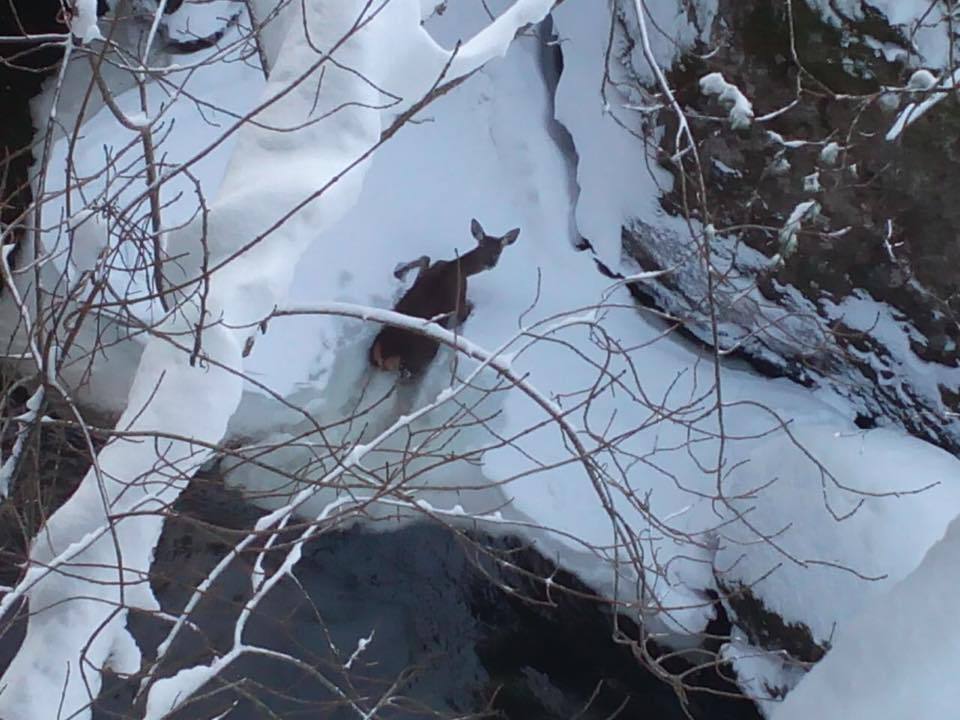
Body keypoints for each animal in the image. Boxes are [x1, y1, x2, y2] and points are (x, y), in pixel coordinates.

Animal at [370, 218, 520, 376]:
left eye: (499, 250)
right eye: (482, 245)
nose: (490, 263)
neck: (455, 268)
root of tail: (387, 356)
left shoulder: (429, 271)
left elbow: (425, 259)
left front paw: (399, 271)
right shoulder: (459, 298)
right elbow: (465, 311)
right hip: (417, 365)